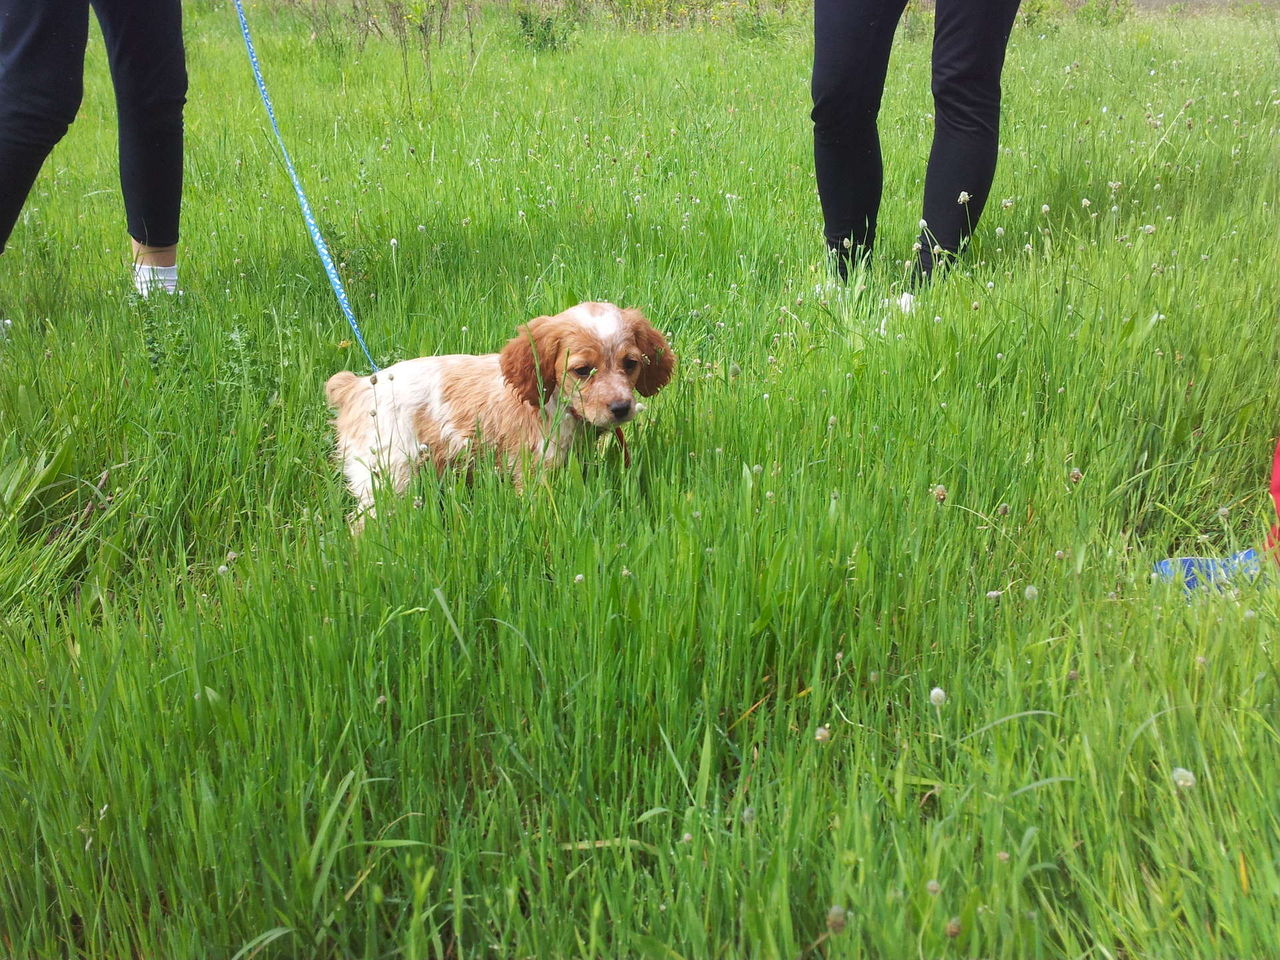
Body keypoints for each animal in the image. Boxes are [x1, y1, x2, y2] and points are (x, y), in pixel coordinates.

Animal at [325, 301, 674, 527]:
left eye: (630, 363)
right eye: (582, 370)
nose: (621, 408)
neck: (559, 406)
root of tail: (357, 387)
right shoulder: (536, 471)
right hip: (389, 476)